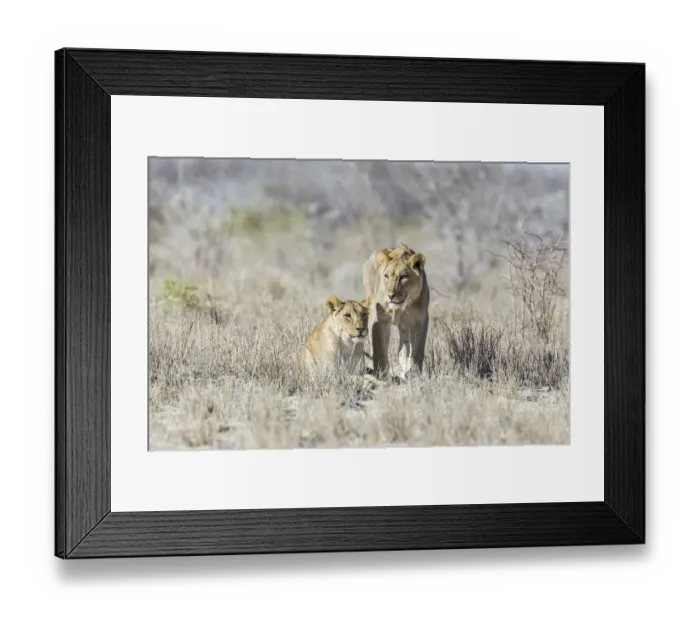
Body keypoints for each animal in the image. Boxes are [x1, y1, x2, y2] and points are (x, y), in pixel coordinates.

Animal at [362, 243, 429, 379]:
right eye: (386, 276)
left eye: (403, 277)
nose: (390, 295)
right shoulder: (378, 319)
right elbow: (379, 349)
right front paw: (381, 373)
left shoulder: (421, 319)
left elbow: (418, 349)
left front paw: (414, 373)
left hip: (405, 326)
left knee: (404, 347)